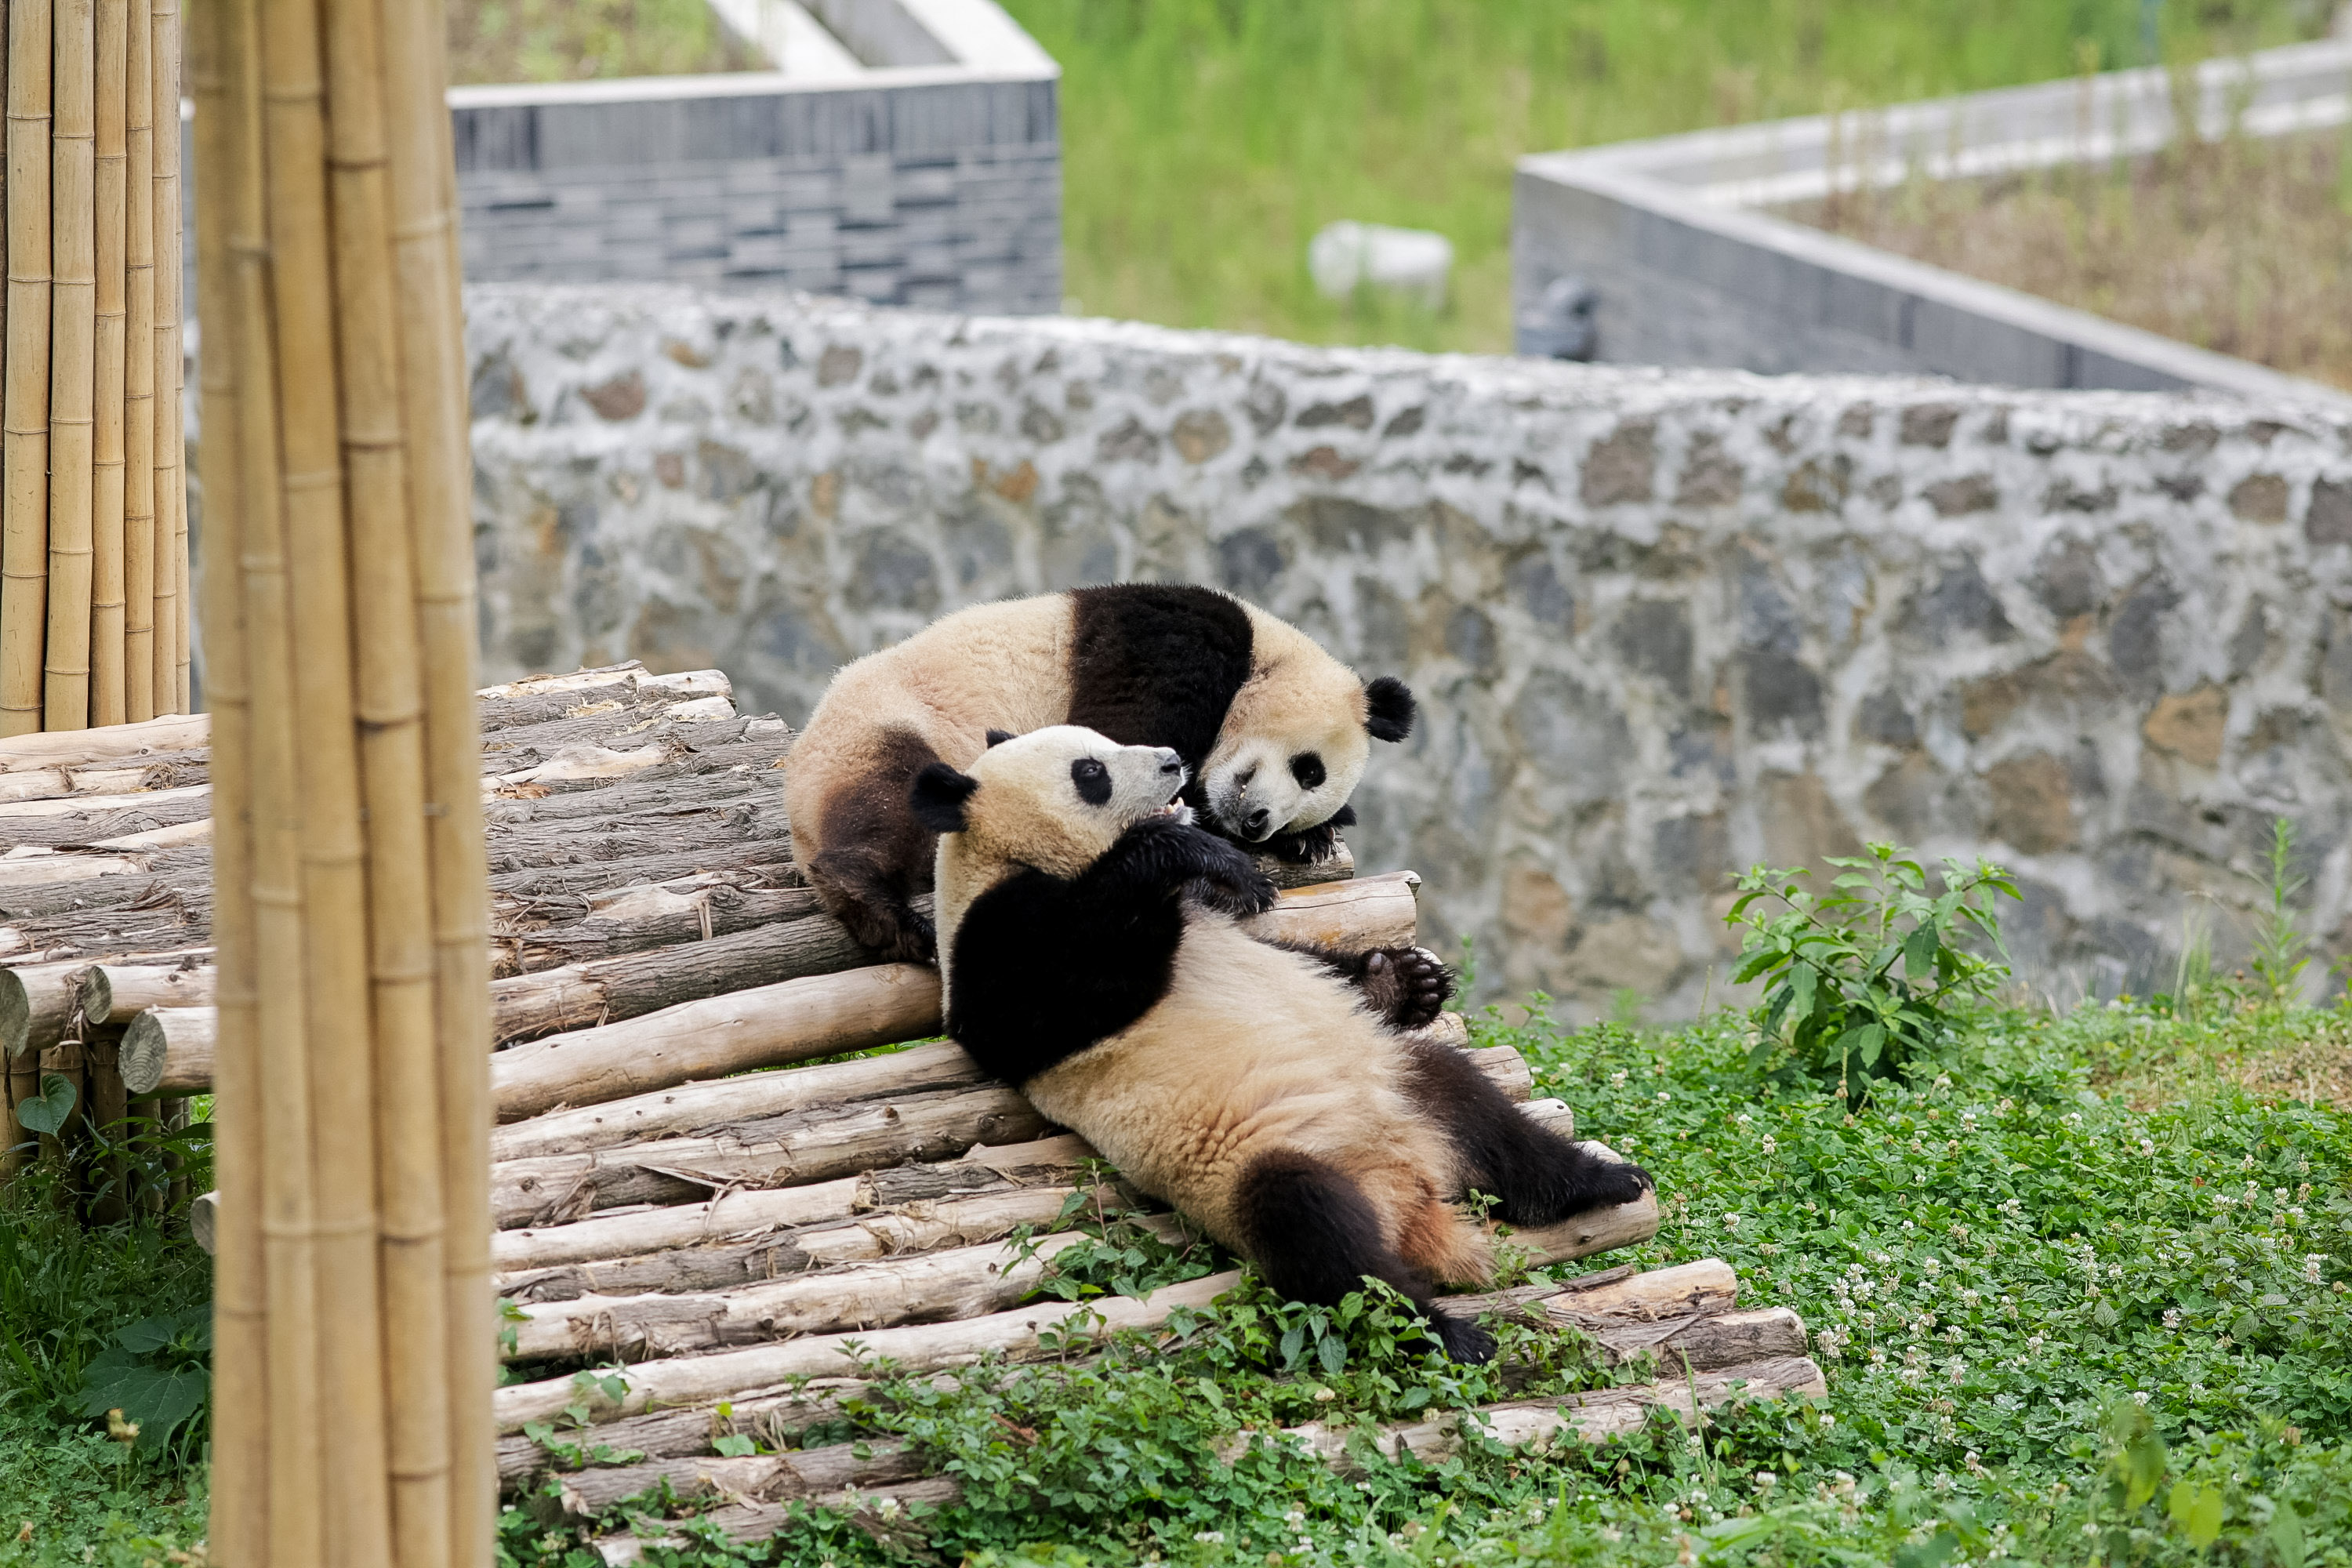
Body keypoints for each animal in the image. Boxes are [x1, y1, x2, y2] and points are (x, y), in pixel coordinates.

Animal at [781, 584, 1416, 964]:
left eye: (1307, 797)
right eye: (1310, 769)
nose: (1258, 823)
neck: (1266, 653)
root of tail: (796, 808)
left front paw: (1315, 837)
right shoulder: (1173, 647)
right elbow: (1121, 735)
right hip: (884, 729)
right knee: (895, 803)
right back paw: (880, 912)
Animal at [910, 724, 1654, 1363]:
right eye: (1090, 772)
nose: (1174, 760)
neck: (1016, 857)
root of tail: (1409, 1200)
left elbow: (1301, 956)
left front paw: (1407, 981)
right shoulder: (994, 942)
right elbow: (1064, 993)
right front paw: (1187, 852)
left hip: (1399, 1085)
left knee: (1479, 1110)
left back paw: (1601, 1181)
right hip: (1255, 1164)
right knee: (1319, 1236)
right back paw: (1443, 1332)